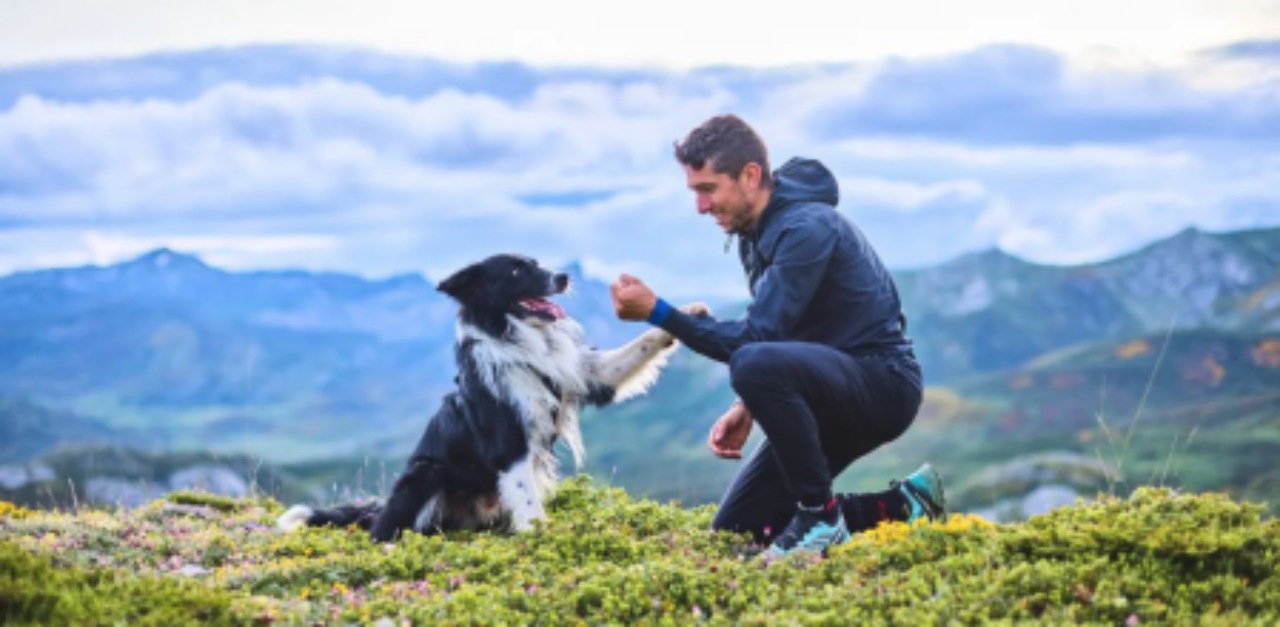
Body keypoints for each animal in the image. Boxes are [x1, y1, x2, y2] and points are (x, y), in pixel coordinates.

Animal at [276, 254, 706, 542]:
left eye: (537, 263)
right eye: (516, 271)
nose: (564, 276)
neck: (520, 338)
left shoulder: (586, 374)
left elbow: (635, 348)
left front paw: (686, 312)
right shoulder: (510, 446)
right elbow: (530, 506)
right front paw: (543, 540)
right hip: (424, 473)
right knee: (388, 530)